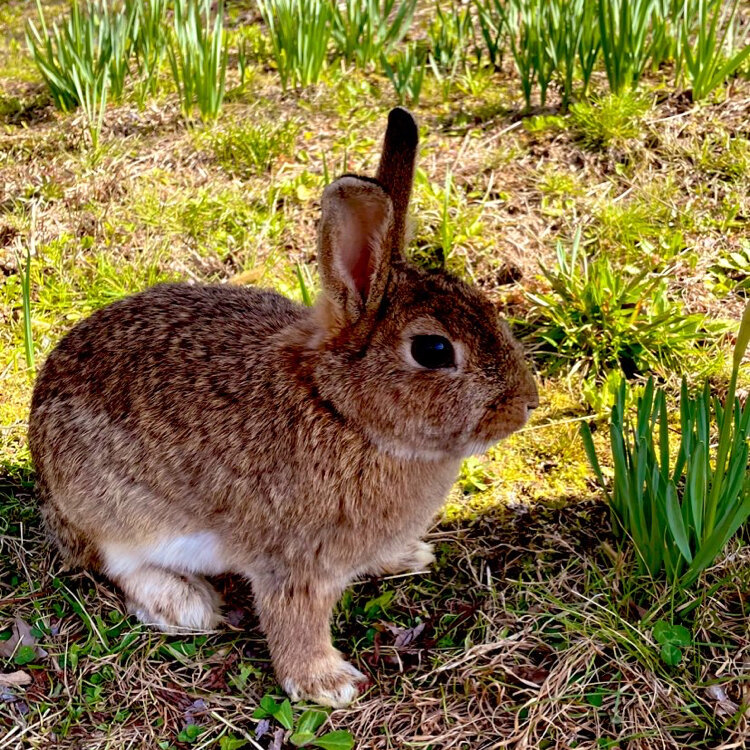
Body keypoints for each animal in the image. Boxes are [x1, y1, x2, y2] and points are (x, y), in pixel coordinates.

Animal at [26, 108, 536, 708]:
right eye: (433, 350)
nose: (525, 405)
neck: (340, 409)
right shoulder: (293, 560)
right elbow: (294, 619)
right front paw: (326, 683)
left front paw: (406, 557)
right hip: (113, 509)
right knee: (111, 562)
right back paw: (184, 603)